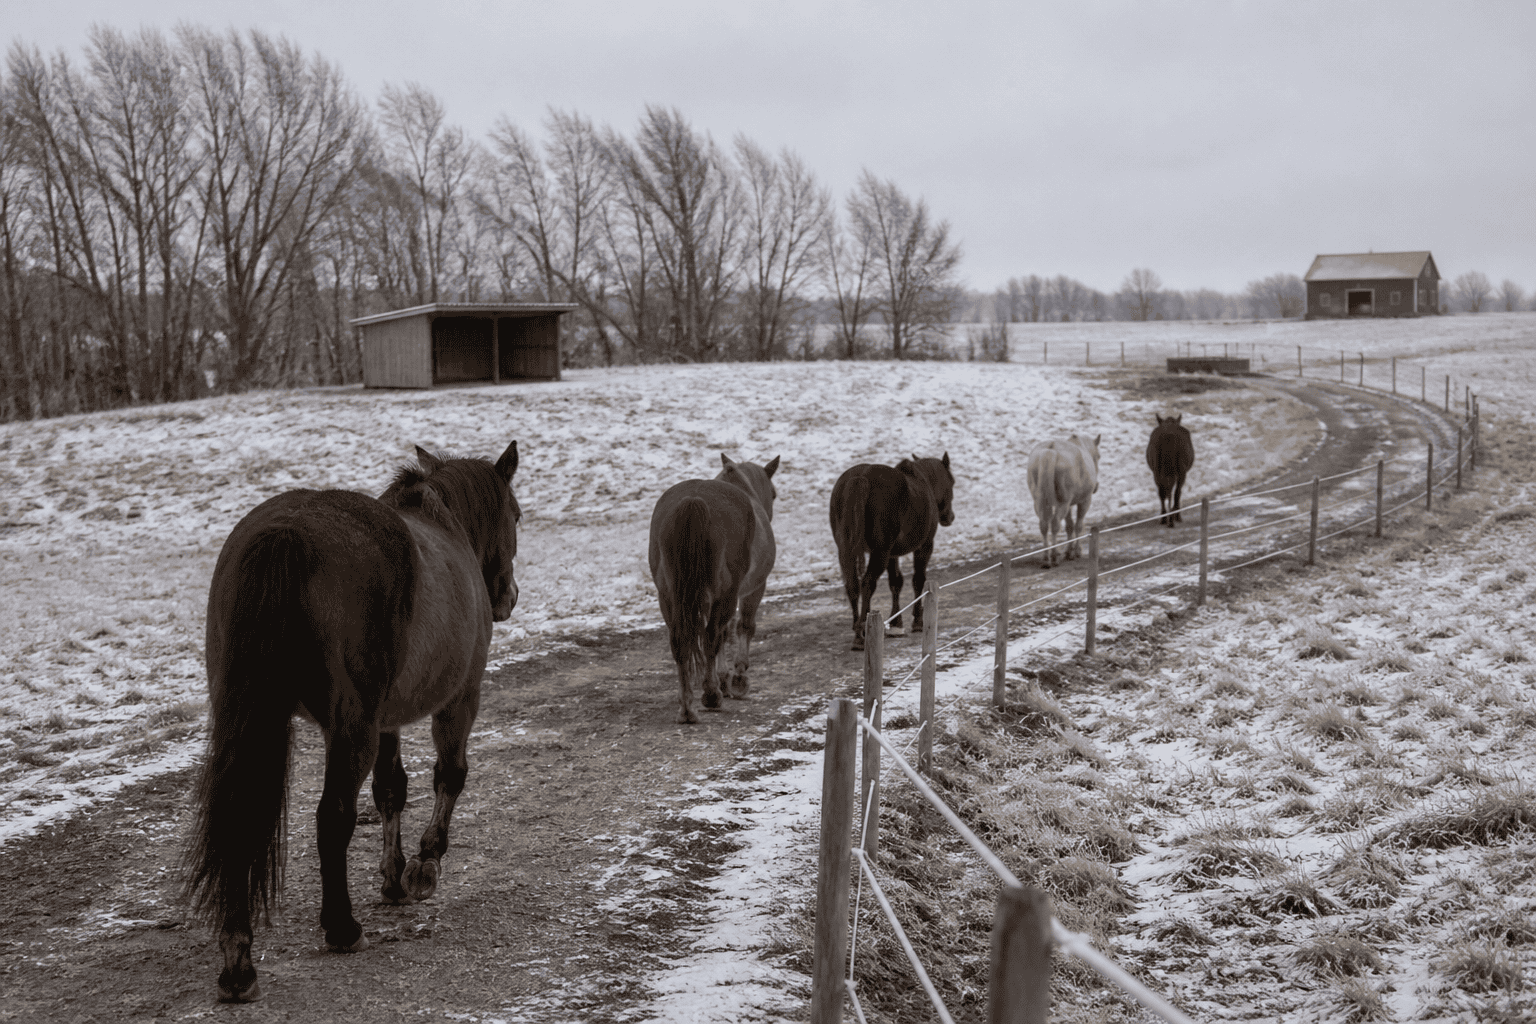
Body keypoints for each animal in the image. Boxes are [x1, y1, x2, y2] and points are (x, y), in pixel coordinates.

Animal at [183, 441, 520, 1003]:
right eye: (516, 515)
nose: (508, 597)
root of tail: (287, 534)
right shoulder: (460, 699)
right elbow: (449, 776)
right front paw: (424, 866)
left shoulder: (387, 721)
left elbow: (390, 791)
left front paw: (392, 876)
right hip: (352, 728)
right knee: (332, 816)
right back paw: (342, 928)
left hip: (249, 719)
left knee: (239, 816)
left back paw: (238, 960)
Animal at [648, 453, 779, 724]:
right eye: (773, 494)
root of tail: (694, 500)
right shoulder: (752, 590)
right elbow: (742, 628)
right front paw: (737, 679)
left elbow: (724, 633)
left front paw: (724, 679)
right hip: (724, 596)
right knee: (710, 637)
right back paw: (710, 696)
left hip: (669, 596)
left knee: (681, 642)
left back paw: (687, 706)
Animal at [829, 453, 955, 650]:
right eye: (952, 482)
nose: (950, 517)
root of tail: (861, 477)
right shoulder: (925, 546)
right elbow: (918, 580)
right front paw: (917, 621)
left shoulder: (891, 554)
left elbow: (895, 582)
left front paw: (896, 623)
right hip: (880, 553)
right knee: (867, 583)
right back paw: (861, 632)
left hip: (848, 551)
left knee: (852, 586)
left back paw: (858, 629)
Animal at [1027, 434, 1100, 567]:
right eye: (1098, 456)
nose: (1096, 486)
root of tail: (1050, 450)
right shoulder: (1085, 501)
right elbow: (1078, 525)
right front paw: (1076, 551)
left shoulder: (1069, 505)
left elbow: (1069, 525)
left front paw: (1069, 552)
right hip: (1063, 503)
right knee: (1055, 523)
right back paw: (1054, 556)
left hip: (1039, 502)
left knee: (1044, 524)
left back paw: (1046, 557)